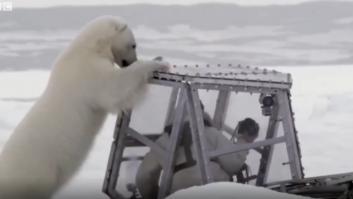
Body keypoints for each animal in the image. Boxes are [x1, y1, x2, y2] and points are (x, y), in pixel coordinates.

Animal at [0, 15, 168, 199]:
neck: (89, 47)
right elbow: (114, 88)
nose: (132, 61)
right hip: (35, 172)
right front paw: (157, 63)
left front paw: (158, 58)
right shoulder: (88, 70)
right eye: (133, 45)